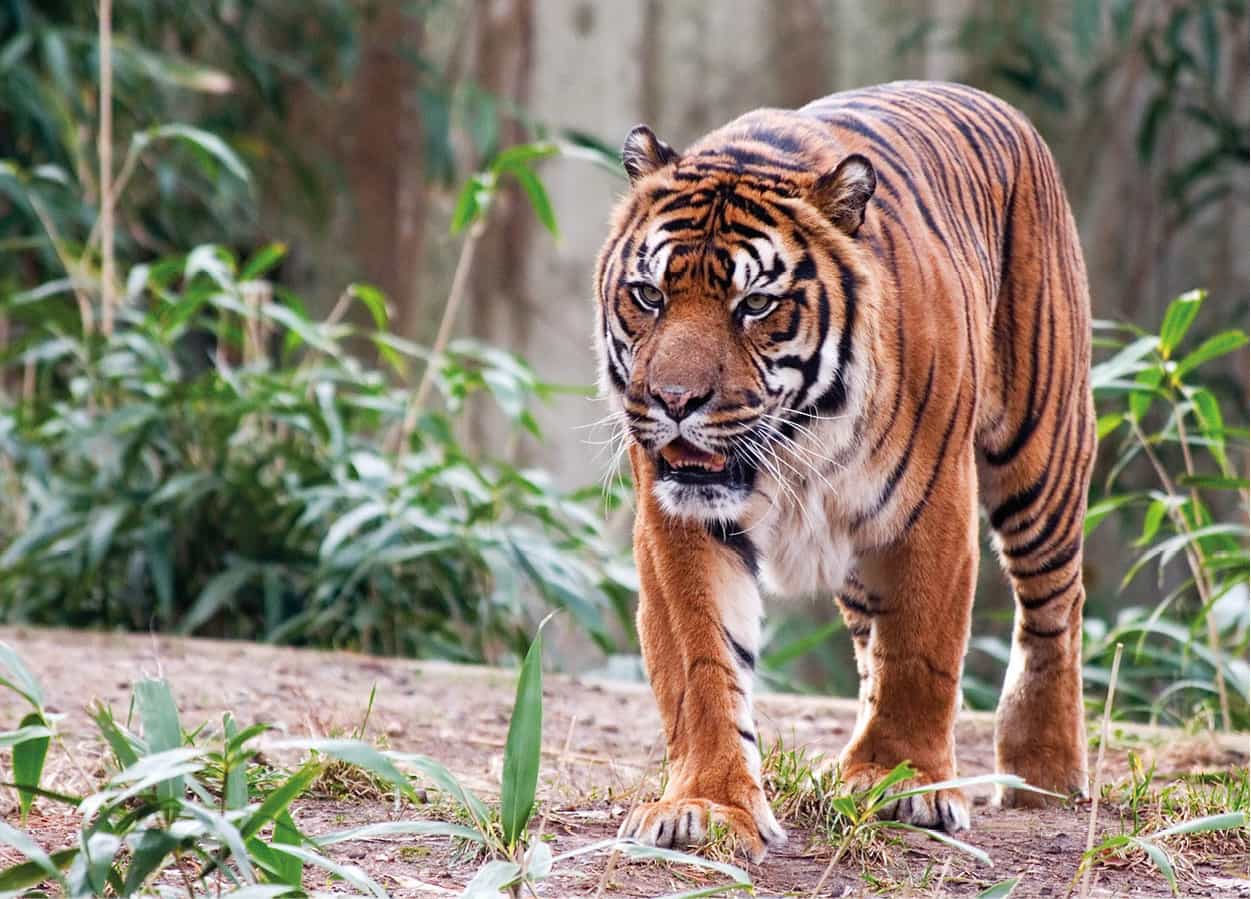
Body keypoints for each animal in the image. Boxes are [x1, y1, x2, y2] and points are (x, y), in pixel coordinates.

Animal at [590, 80, 1090, 860]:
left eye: (754, 304)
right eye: (649, 295)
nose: (673, 401)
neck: (798, 438)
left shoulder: (931, 507)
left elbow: (919, 651)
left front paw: (903, 784)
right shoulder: (681, 520)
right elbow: (703, 665)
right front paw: (708, 804)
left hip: (1040, 454)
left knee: (1054, 607)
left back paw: (1044, 773)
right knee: (869, 644)